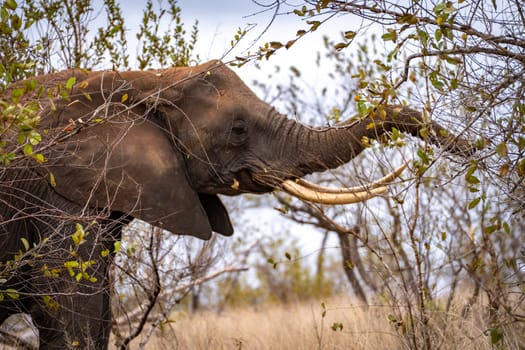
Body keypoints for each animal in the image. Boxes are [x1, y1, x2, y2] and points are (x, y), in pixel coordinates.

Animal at [0, 58, 470, 348]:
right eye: (239, 130)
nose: (469, 148)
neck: (141, 80)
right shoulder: (50, 189)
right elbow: (70, 308)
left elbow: (96, 310)